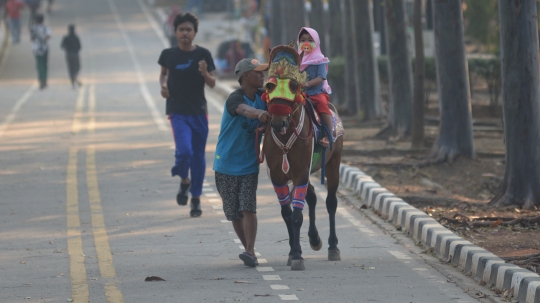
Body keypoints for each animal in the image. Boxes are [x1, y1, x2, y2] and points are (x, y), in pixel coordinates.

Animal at [260, 44, 344, 270]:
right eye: (269, 86)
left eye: (293, 85)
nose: (278, 122)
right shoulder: (278, 176)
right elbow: (287, 214)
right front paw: (292, 252)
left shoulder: (300, 173)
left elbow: (297, 216)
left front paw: (297, 255)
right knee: (313, 196)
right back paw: (314, 238)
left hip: (333, 162)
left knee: (331, 202)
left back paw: (333, 247)